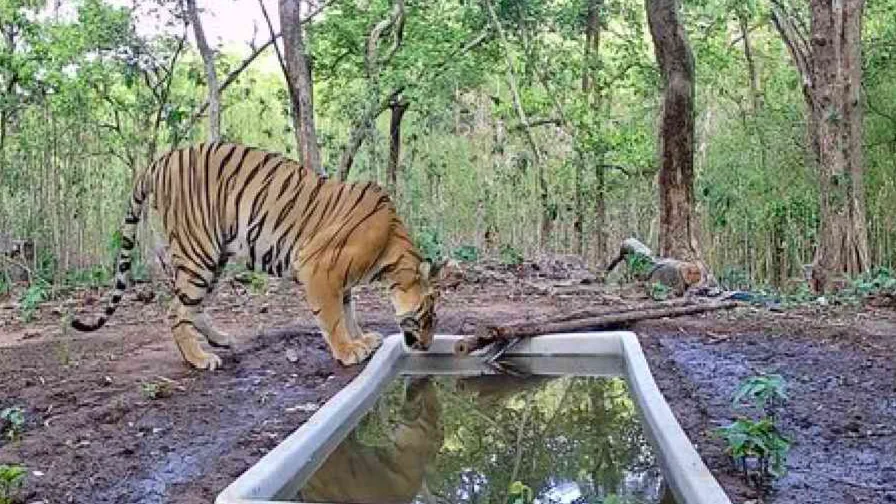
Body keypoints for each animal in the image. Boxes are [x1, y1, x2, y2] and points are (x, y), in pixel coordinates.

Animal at [71, 142, 443, 370]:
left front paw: (362, 338)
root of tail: (160, 160)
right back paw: (199, 358)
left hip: (214, 256)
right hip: (198, 251)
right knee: (176, 310)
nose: (426, 347)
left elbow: (349, 312)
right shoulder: (319, 268)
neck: (392, 248)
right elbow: (334, 317)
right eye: (428, 317)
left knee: (193, 306)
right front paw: (348, 351)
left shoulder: (342, 280)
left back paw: (220, 339)